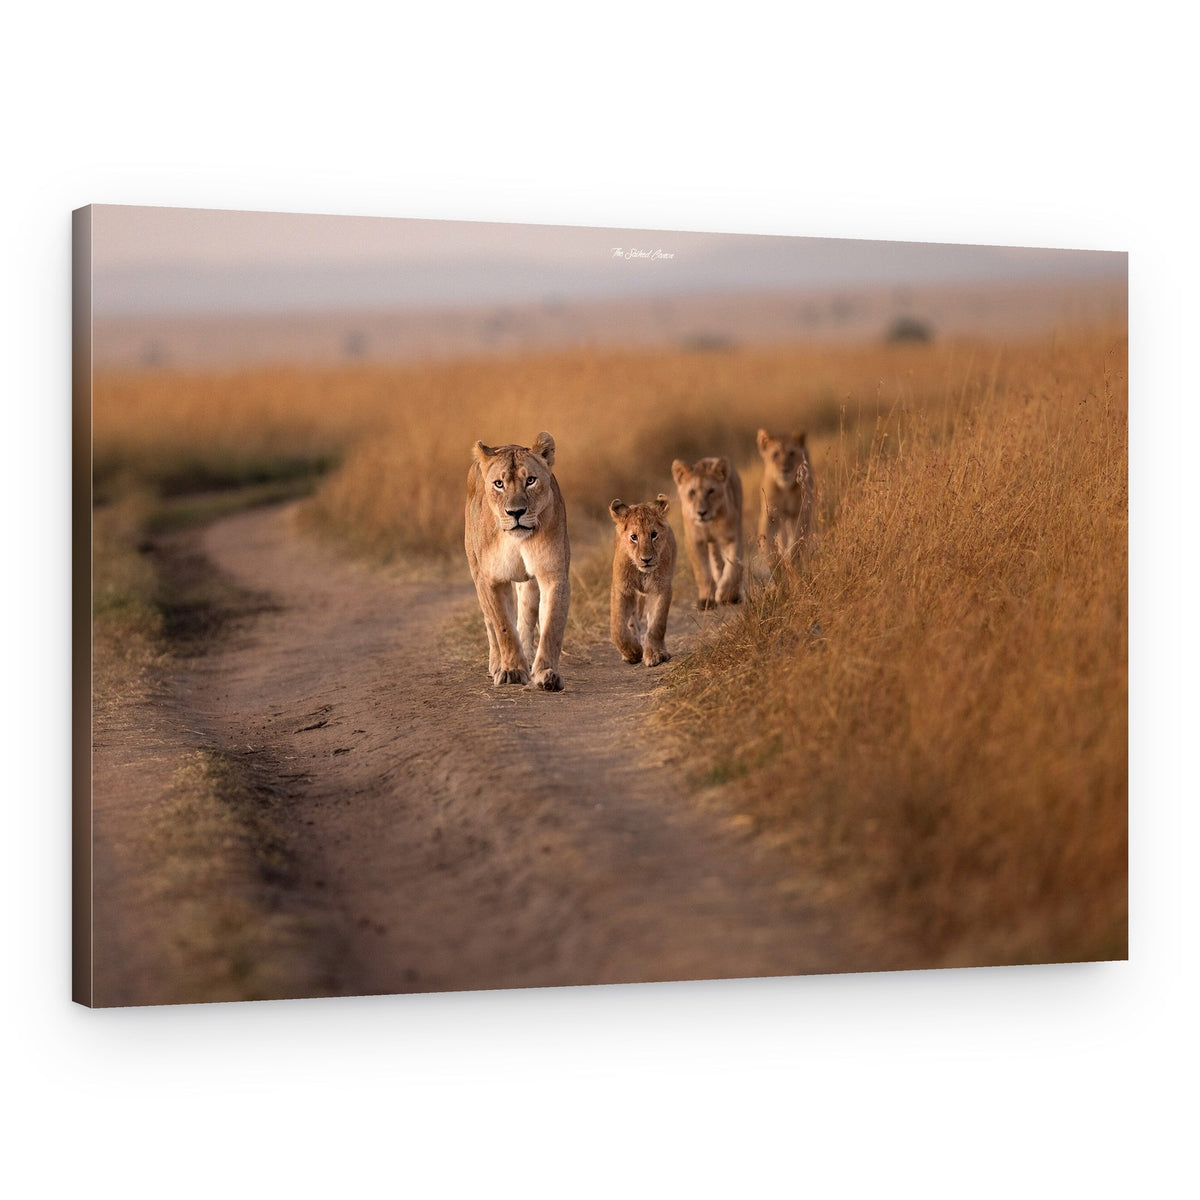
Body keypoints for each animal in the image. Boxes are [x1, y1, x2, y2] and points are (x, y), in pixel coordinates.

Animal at [464, 431, 570, 691]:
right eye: (499, 484)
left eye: (530, 480)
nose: (516, 512)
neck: (516, 540)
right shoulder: (491, 580)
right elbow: (503, 626)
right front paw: (511, 671)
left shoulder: (553, 575)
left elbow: (551, 626)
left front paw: (546, 674)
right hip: (476, 574)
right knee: (491, 624)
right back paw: (497, 664)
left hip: (529, 583)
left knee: (526, 618)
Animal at [609, 495, 675, 667]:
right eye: (634, 537)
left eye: (654, 534)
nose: (646, 559)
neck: (642, 572)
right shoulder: (622, 589)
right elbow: (617, 628)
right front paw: (632, 652)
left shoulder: (661, 588)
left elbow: (657, 623)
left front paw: (655, 654)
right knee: (632, 619)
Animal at [670, 456, 744, 608]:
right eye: (692, 492)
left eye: (711, 491)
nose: (701, 512)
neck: (710, 524)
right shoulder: (694, 541)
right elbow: (702, 571)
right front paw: (706, 600)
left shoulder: (732, 537)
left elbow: (733, 567)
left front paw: (726, 594)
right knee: (716, 563)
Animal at [756, 428, 814, 569]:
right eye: (775, 454)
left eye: (791, 453)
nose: (784, 469)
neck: (785, 488)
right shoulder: (770, 513)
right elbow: (767, 541)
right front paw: (774, 562)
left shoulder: (801, 511)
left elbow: (797, 539)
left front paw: (790, 559)